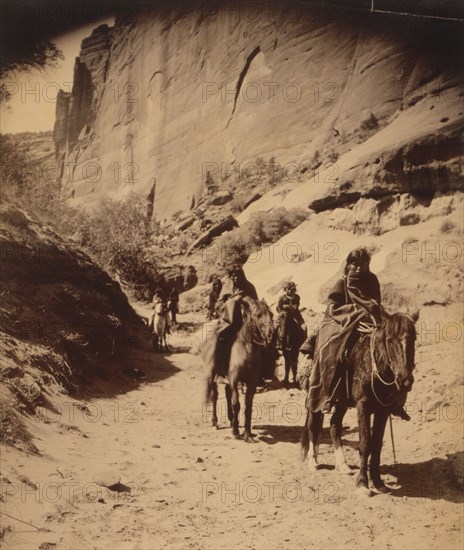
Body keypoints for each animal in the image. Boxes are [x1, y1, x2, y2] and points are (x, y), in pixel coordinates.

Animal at [204, 298, 276, 444]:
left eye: (271, 315)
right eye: (258, 315)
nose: (271, 336)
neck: (246, 352)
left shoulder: (251, 383)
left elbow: (248, 407)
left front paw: (247, 434)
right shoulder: (235, 379)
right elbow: (236, 404)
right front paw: (236, 432)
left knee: (227, 393)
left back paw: (231, 419)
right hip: (213, 375)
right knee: (215, 396)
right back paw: (215, 421)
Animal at [300, 310, 418, 496]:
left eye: (414, 338)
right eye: (389, 340)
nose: (405, 380)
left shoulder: (383, 410)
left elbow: (376, 444)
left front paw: (378, 481)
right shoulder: (363, 405)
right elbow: (365, 442)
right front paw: (363, 483)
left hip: (341, 401)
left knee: (334, 424)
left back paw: (343, 465)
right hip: (316, 397)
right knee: (313, 425)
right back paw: (313, 462)